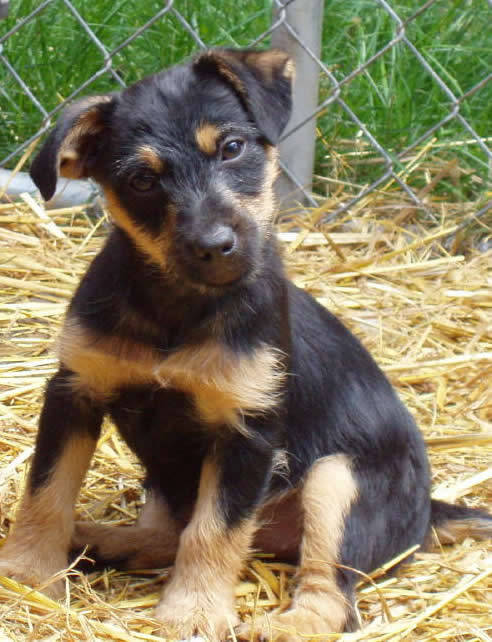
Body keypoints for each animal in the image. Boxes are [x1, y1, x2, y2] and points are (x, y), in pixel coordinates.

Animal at [0, 47, 492, 636]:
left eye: (232, 148)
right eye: (142, 180)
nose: (215, 246)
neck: (177, 310)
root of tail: (428, 512)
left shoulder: (246, 432)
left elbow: (215, 531)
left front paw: (193, 611)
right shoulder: (74, 392)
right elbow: (47, 490)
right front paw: (27, 572)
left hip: (338, 480)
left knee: (332, 595)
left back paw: (286, 625)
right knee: (165, 534)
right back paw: (101, 539)